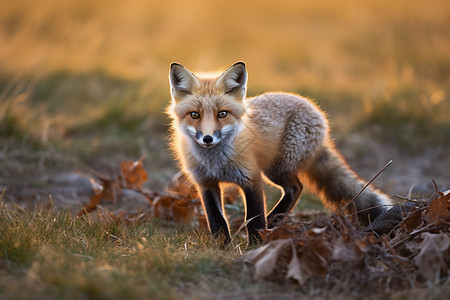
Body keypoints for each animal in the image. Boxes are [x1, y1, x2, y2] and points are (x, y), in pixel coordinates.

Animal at [167, 61, 392, 246]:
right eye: (194, 115)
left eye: (222, 114)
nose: (207, 138)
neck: (215, 163)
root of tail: (315, 110)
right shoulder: (206, 183)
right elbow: (217, 221)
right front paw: (222, 248)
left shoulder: (251, 177)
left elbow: (255, 219)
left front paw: (255, 246)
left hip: (276, 169)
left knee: (296, 188)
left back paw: (273, 221)